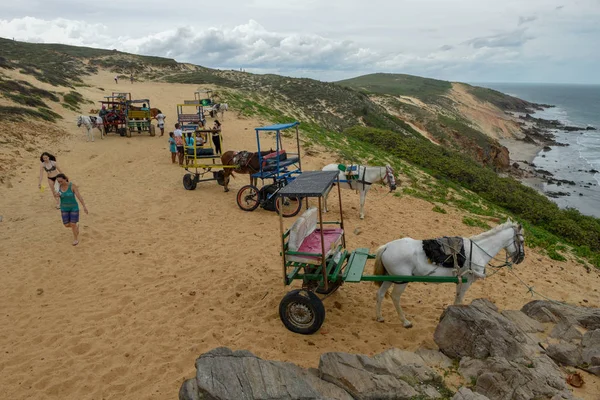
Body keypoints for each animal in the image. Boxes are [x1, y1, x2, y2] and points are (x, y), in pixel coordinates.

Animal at [372, 219, 524, 328]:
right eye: (522, 241)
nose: (521, 258)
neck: (478, 251)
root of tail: (386, 247)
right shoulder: (468, 280)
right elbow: (459, 299)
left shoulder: (460, 280)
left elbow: (456, 299)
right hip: (401, 281)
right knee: (395, 297)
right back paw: (405, 321)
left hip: (390, 277)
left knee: (380, 293)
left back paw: (379, 317)